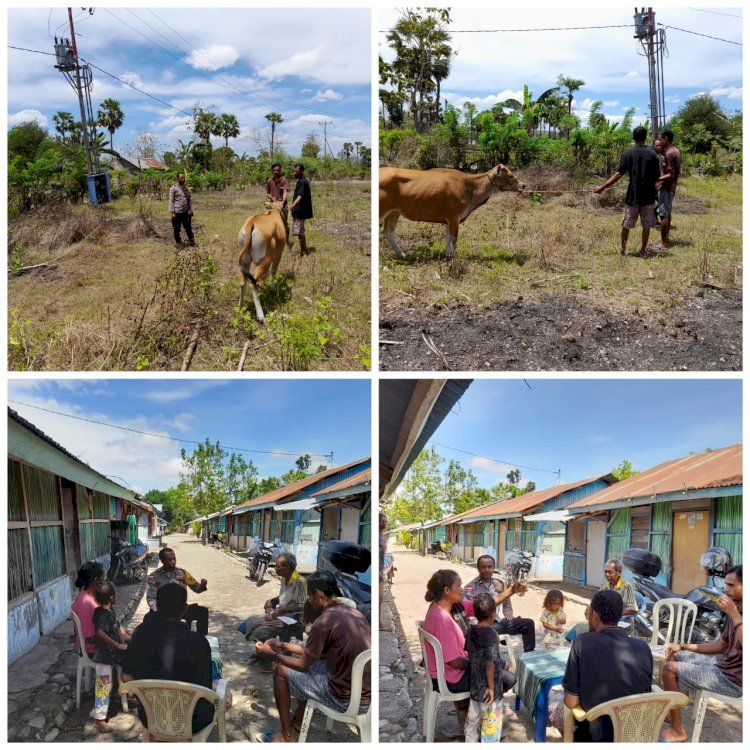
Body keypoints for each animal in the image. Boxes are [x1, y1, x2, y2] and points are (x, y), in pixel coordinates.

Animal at [382, 164, 524, 258]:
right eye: (510, 176)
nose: (523, 185)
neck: (470, 185)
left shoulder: (448, 219)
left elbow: (448, 237)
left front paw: (449, 254)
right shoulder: (454, 217)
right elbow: (454, 239)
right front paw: (454, 257)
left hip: (394, 213)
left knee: (388, 232)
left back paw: (401, 254)